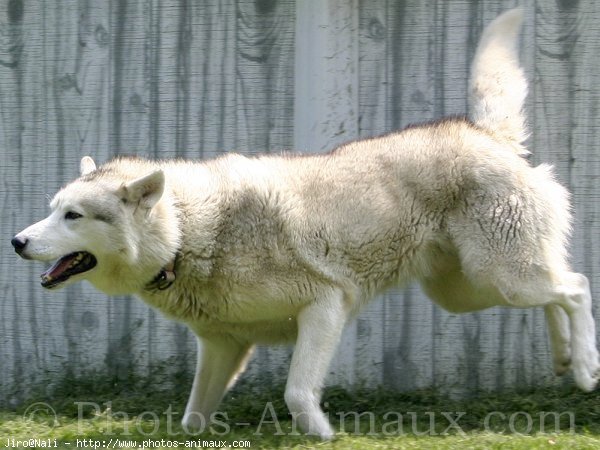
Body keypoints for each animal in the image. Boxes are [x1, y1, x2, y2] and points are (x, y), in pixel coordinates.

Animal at [11, 9, 596, 440]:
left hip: (500, 278)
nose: (16, 241)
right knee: (558, 288)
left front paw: (323, 436)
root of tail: (483, 133)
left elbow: (295, 393)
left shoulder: (326, 306)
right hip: (470, 291)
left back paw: (587, 366)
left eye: (73, 216)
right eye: (52, 208)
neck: (188, 235)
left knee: (575, 286)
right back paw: (564, 358)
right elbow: (191, 418)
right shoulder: (222, 347)